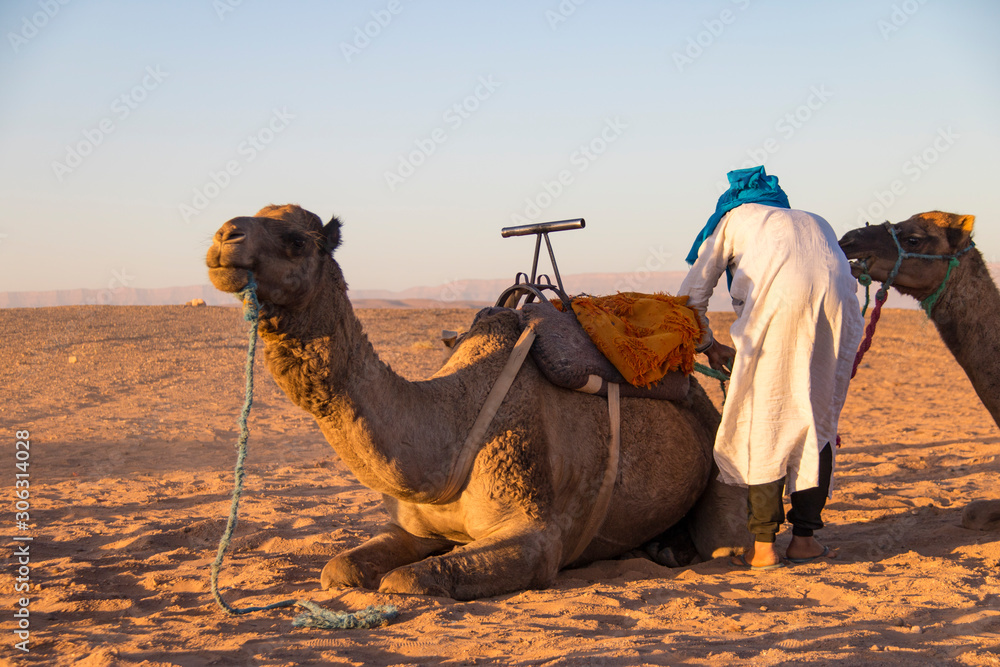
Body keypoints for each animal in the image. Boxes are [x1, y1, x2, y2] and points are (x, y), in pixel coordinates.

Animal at [206, 204, 744, 600]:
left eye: (297, 240)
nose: (223, 237)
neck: (451, 427)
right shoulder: (414, 527)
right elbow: (340, 568)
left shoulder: (535, 535)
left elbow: (409, 579)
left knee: (724, 535)